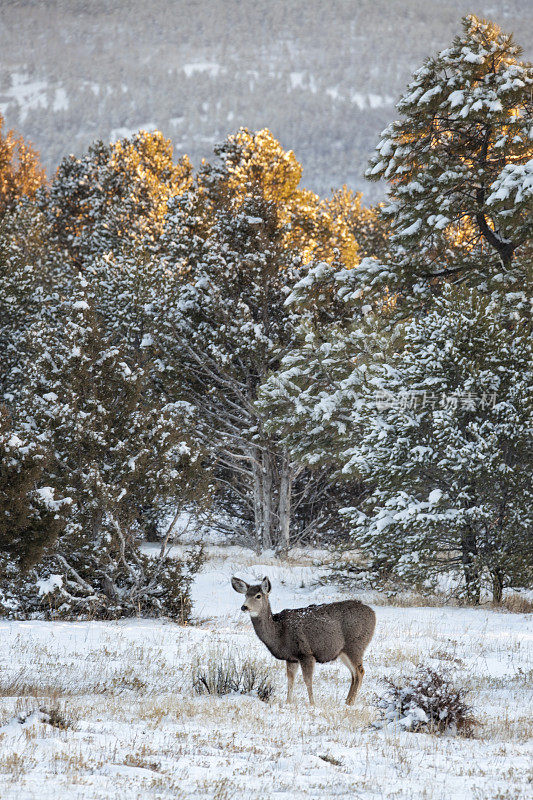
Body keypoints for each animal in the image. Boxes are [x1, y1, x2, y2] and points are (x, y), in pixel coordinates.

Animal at [232, 576, 374, 708]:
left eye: (258, 596)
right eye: (245, 595)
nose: (244, 607)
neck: (279, 632)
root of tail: (373, 613)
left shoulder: (306, 653)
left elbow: (307, 680)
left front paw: (312, 704)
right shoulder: (291, 658)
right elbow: (290, 680)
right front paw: (288, 702)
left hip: (355, 645)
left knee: (360, 672)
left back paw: (351, 702)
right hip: (343, 652)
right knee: (354, 674)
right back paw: (347, 701)